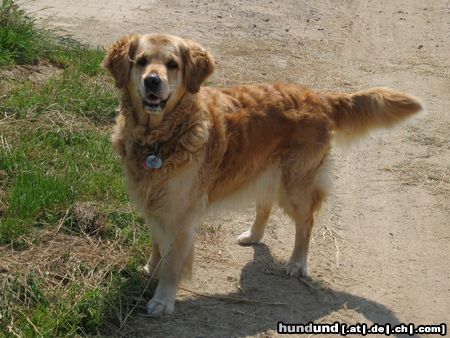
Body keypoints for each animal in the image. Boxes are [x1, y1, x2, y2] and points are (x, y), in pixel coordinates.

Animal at [103, 34, 422, 316]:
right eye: (141, 61)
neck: (161, 138)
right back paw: (254, 235)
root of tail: (320, 97)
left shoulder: (180, 212)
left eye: (172, 64)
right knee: (264, 204)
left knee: (306, 221)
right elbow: (158, 242)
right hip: (263, 169)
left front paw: (162, 300)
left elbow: (172, 264)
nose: (152, 81)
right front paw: (151, 268)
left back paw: (297, 263)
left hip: (295, 185)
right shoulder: (153, 201)